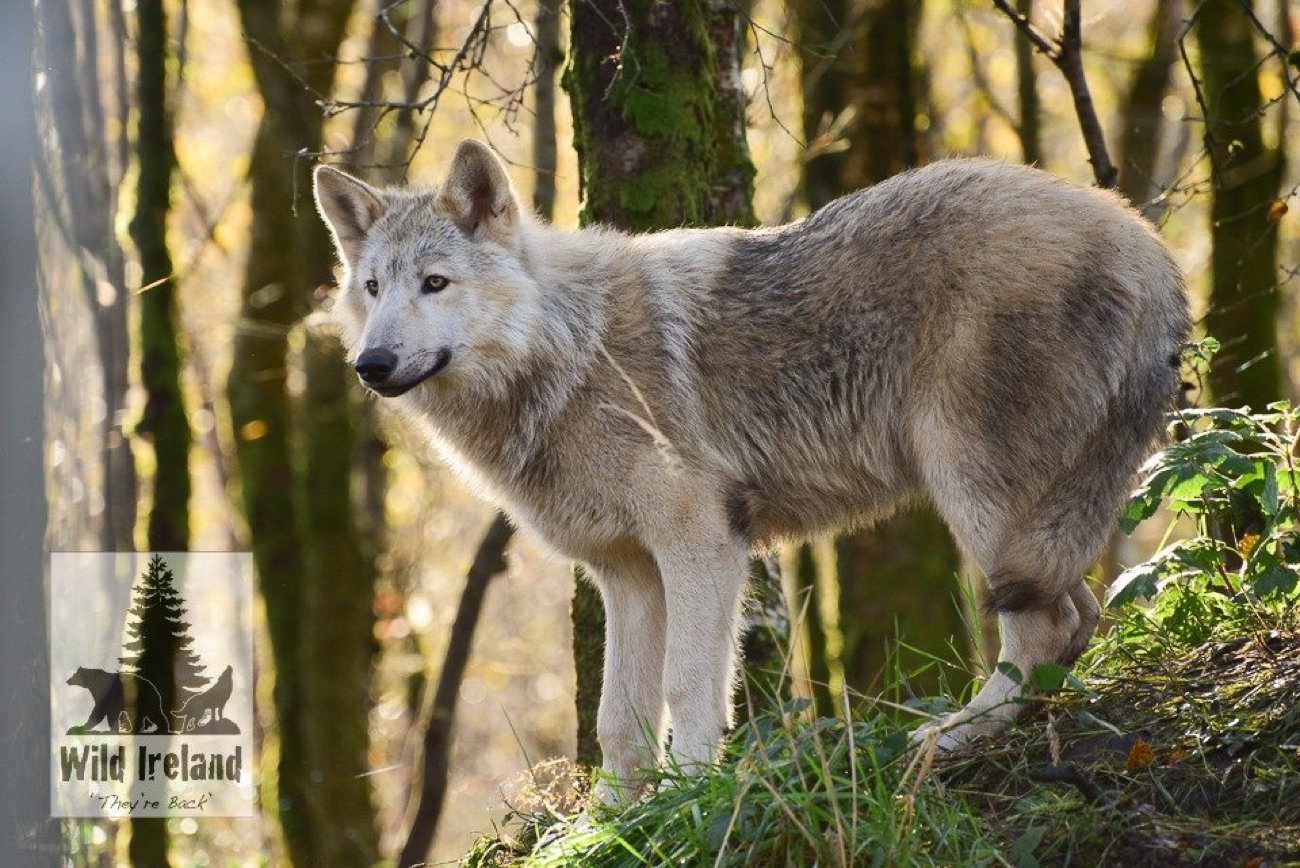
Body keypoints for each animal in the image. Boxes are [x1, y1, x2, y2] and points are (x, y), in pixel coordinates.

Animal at [313, 139, 1189, 799]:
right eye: (373, 288)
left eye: (435, 284)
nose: (371, 365)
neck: (567, 351)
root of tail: (1144, 240)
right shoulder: (627, 573)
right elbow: (618, 721)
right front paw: (616, 820)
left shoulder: (701, 540)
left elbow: (688, 688)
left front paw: (695, 795)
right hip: (1020, 518)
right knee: (1077, 615)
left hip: (970, 492)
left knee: (1041, 625)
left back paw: (952, 738)